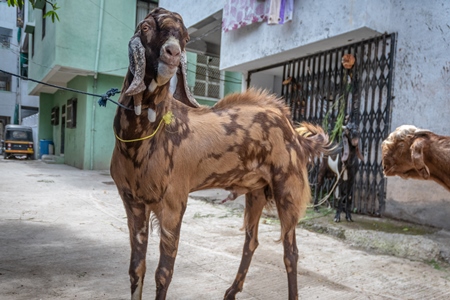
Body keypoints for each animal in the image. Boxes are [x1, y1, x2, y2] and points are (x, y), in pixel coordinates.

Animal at [110, 7, 332, 300]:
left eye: (185, 37)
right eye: (145, 27)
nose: (172, 53)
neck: (143, 138)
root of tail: (294, 134)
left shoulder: (173, 203)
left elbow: (163, 273)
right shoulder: (132, 202)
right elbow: (136, 268)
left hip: (288, 187)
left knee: (291, 252)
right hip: (256, 191)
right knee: (252, 241)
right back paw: (231, 290)